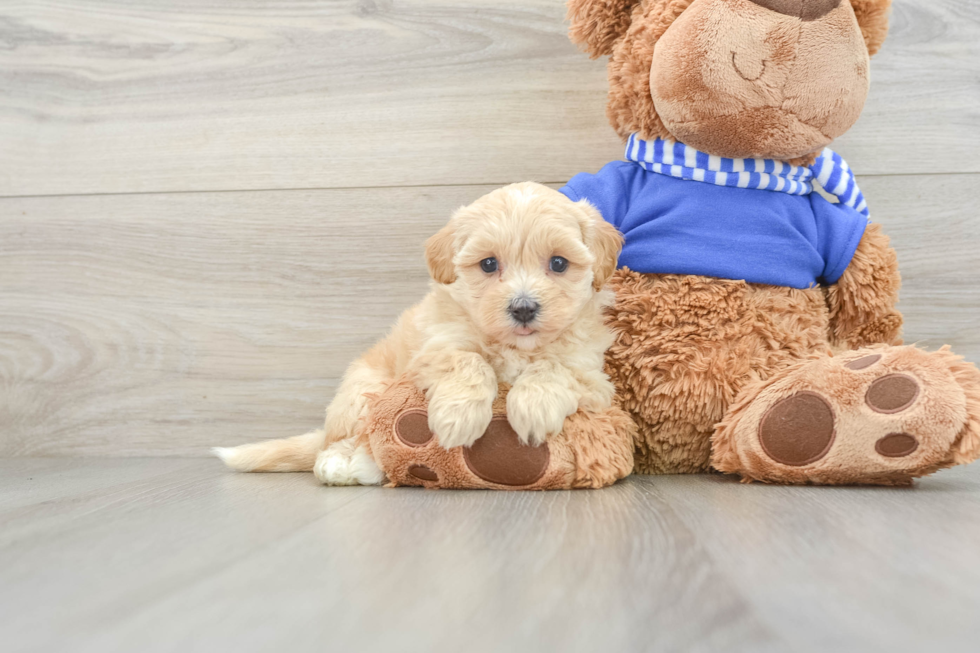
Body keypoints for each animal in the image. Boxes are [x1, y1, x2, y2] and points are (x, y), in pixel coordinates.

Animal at [217, 182, 624, 484]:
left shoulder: (590, 374)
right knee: (352, 439)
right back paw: (347, 463)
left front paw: (534, 406)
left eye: (558, 263)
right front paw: (459, 416)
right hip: (362, 396)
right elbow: (467, 360)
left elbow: (554, 367)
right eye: (488, 264)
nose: (523, 308)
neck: (517, 348)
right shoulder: (435, 348)